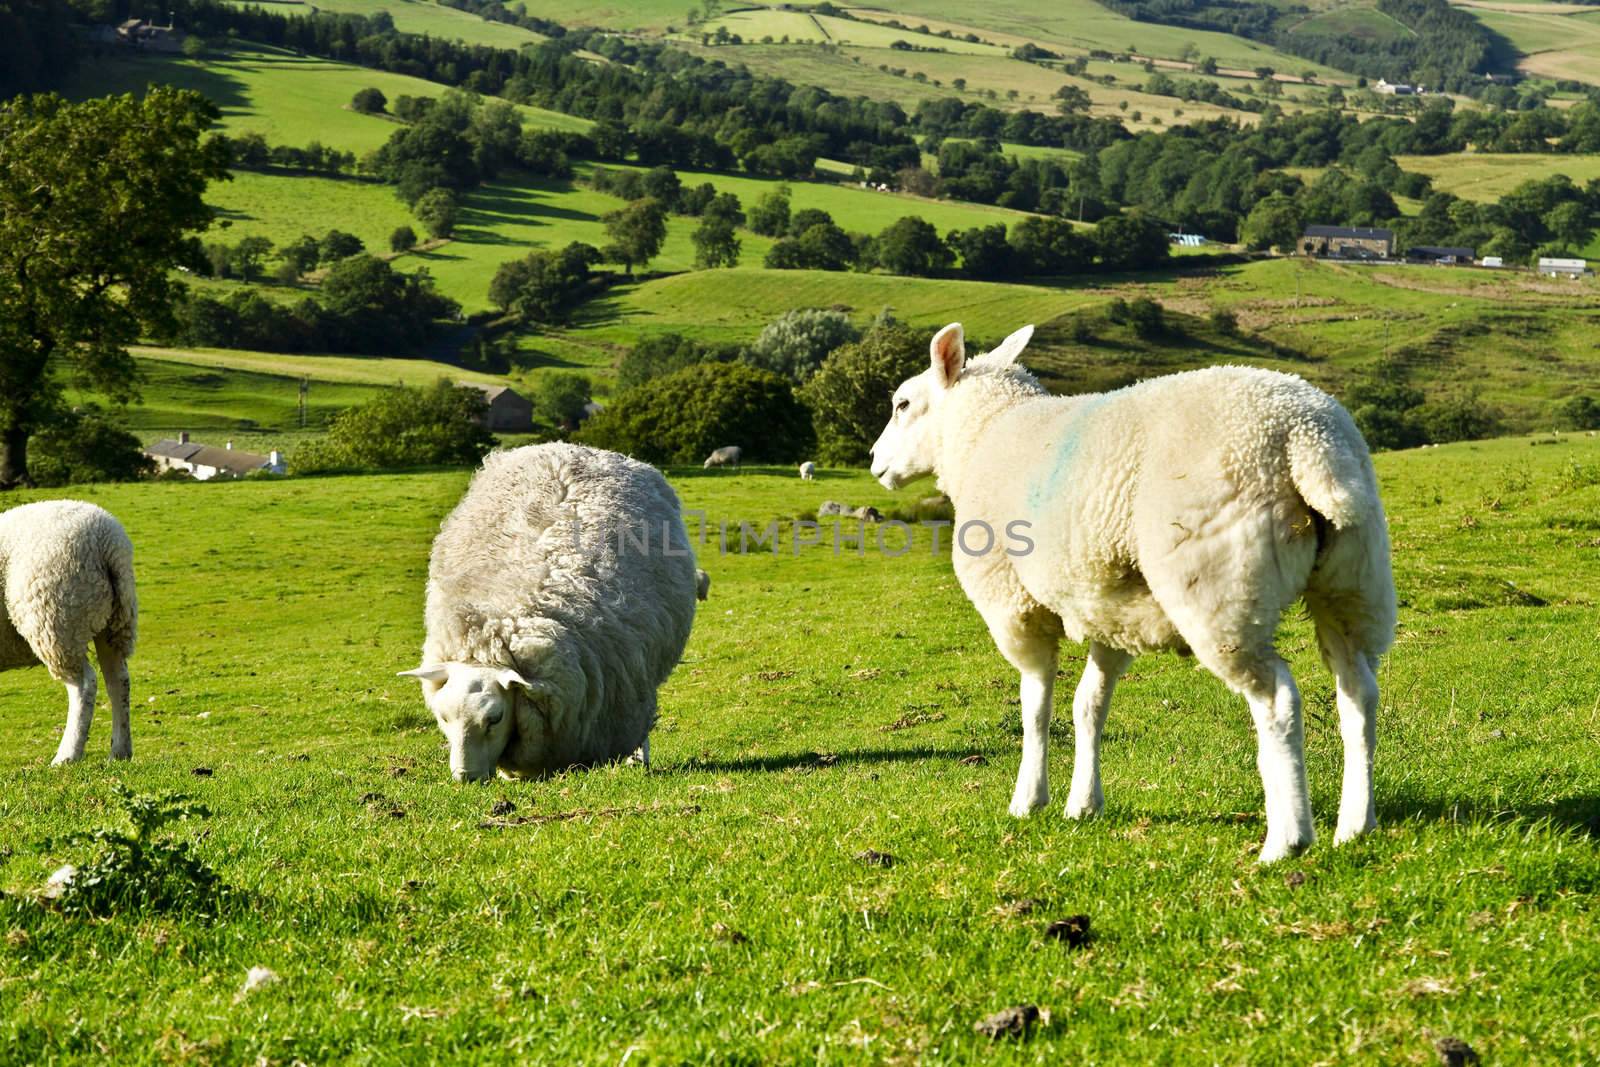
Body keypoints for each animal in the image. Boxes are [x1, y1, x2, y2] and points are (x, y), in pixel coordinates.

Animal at [1, 502, 137, 767]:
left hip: (56, 619)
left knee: (84, 685)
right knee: (118, 680)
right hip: (111, 620)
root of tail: (107, 542)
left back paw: (67, 755)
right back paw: (119, 751)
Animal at [870, 321, 1395, 863]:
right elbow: (1089, 705)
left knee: (1277, 700)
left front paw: (1028, 798)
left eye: (902, 404)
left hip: (1220, 590)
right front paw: (1083, 803)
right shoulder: (1110, 607)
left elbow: (1035, 707)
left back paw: (1287, 839)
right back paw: (1355, 823)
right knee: (1358, 693)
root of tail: (1306, 437)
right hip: (1354, 580)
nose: (873, 462)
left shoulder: (1014, 606)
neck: (983, 433)